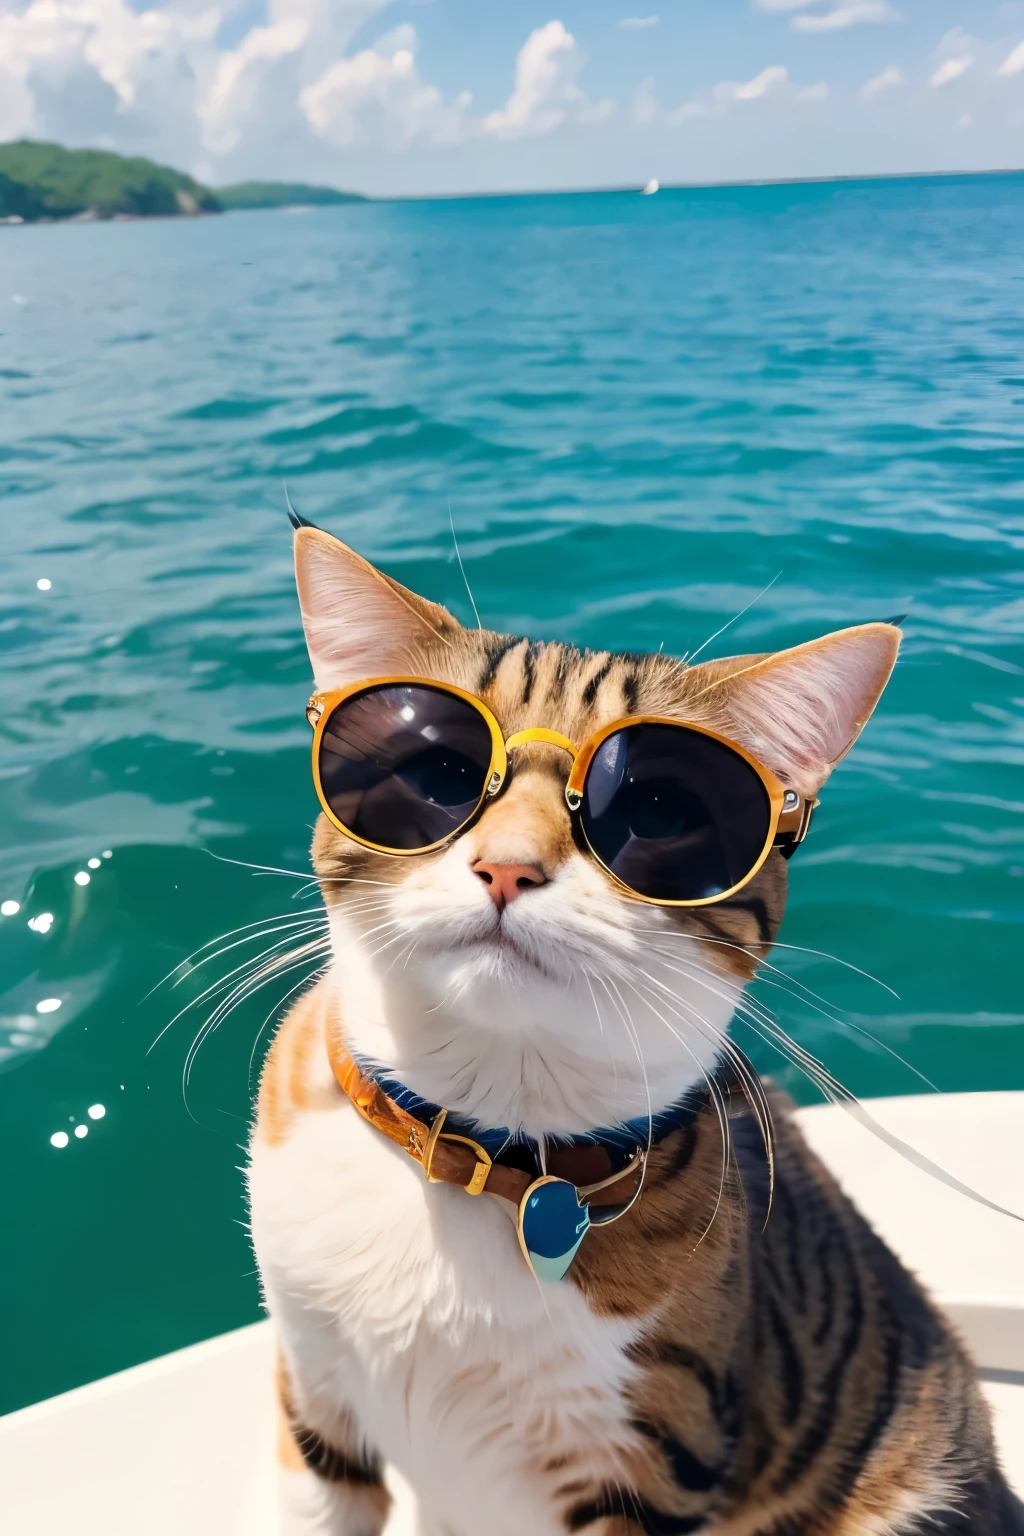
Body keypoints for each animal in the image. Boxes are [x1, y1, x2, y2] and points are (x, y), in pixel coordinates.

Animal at [250, 525, 1024, 1536]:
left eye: (657, 811)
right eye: (438, 775)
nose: (508, 866)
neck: (479, 1149)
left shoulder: (652, 1465)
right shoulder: (315, 1398)